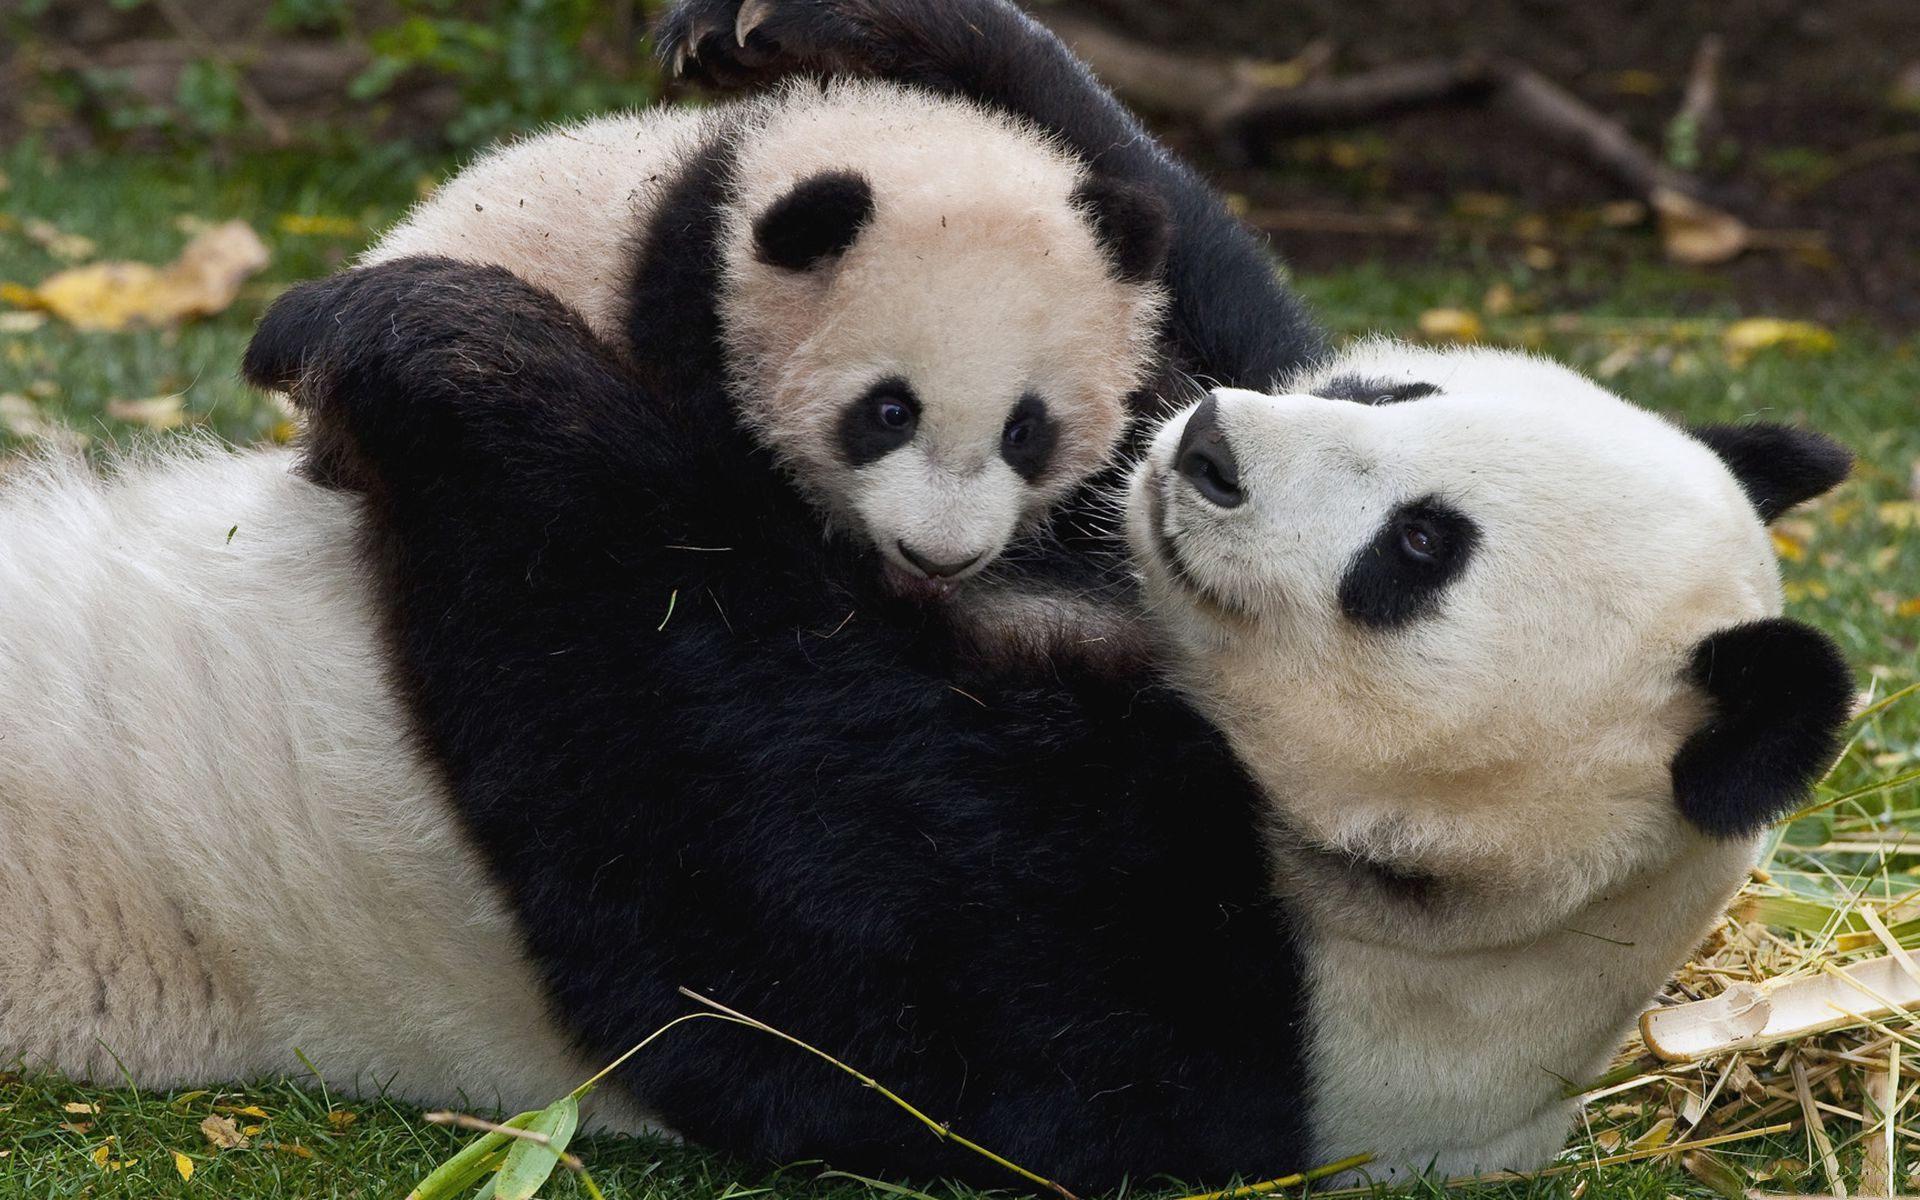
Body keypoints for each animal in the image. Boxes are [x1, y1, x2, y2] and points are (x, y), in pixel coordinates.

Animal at [231, 253, 1853, 1189]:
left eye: (1418, 551)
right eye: (1398, 385)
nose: (1209, 448)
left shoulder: (1168, 997)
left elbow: (711, 827)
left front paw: (431, 339)